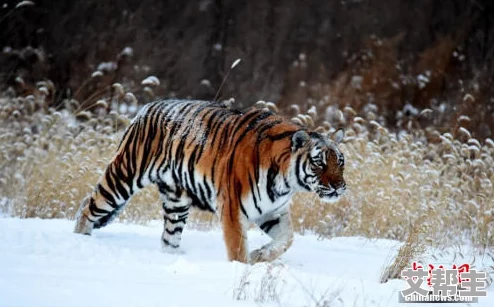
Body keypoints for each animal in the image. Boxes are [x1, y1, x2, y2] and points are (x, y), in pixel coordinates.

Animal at [74, 100, 348, 264]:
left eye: (340, 161)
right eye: (319, 163)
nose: (339, 187)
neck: (284, 182)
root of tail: (145, 108)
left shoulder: (273, 211)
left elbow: (287, 239)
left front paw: (260, 256)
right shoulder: (233, 210)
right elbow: (237, 249)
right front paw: (243, 268)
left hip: (177, 202)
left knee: (169, 237)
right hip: (123, 176)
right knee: (89, 207)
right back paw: (80, 241)